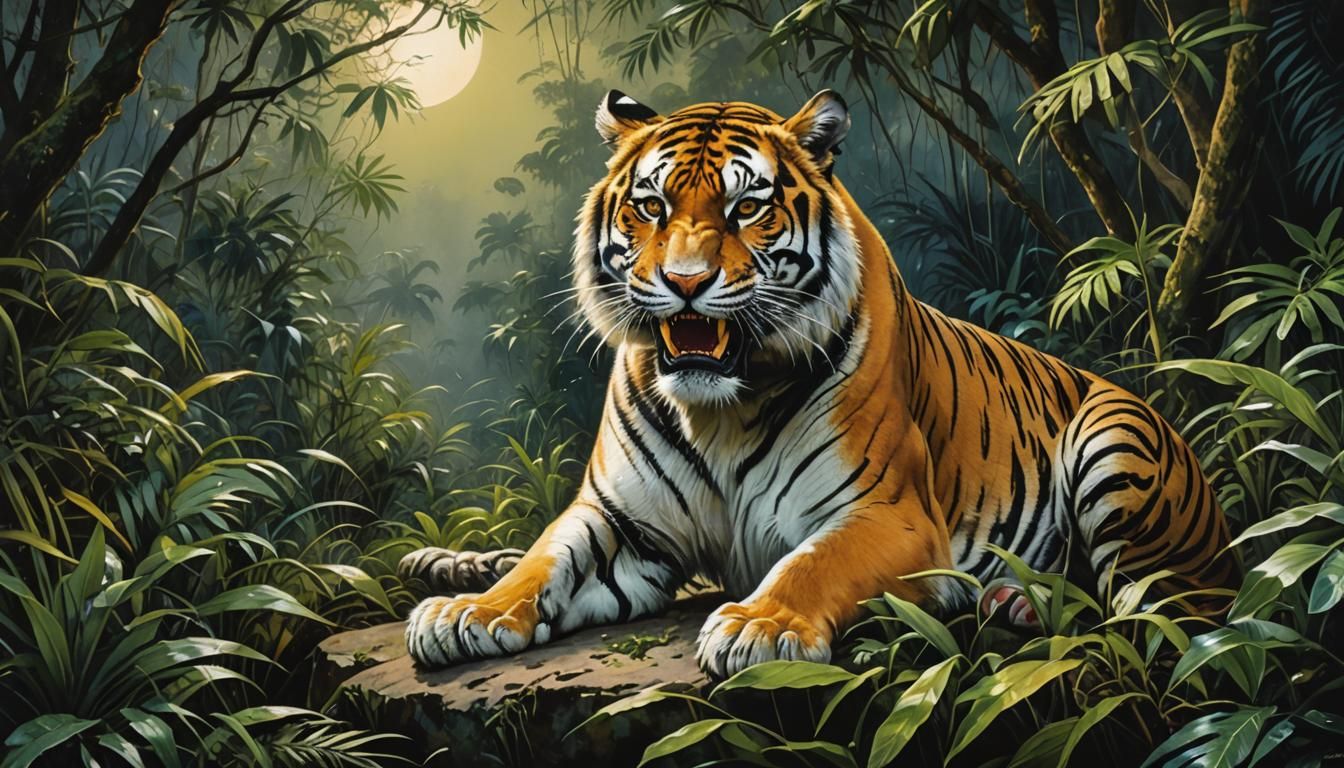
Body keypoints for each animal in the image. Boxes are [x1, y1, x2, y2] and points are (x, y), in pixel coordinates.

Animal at [404, 90, 1237, 679]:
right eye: (652, 206)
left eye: (747, 207)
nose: (684, 283)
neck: (719, 410)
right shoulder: (623, 522)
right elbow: (545, 556)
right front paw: (469, 611)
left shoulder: (890, 513)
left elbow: (810, 562)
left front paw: (757, 625)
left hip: (1114, 444)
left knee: (1163, 609)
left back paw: (1016, 599)